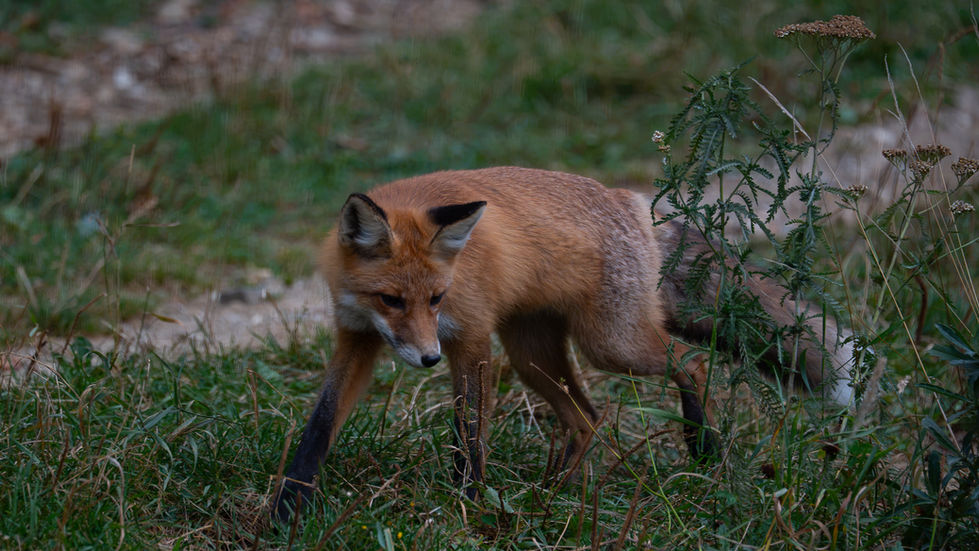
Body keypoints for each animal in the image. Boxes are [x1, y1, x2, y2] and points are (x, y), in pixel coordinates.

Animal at [271, 166, 854, 521]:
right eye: (391, 300)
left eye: (437, 298)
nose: (428, 358)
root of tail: (631, 200)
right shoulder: (357, 337)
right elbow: (320, 422)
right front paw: (288, 505)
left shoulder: (471, 339)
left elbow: (469, 431)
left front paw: (467, 502)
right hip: (534, 357)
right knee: (587, 416)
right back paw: (553, 492)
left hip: (610, 345)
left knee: (692, 361)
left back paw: (701, 443)